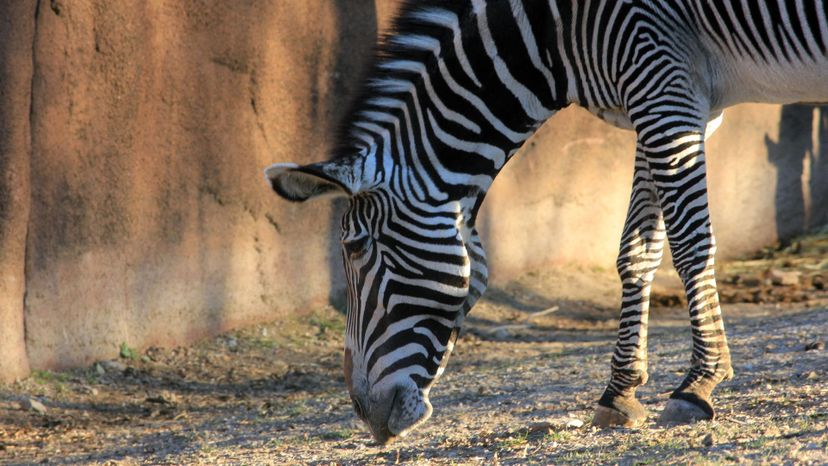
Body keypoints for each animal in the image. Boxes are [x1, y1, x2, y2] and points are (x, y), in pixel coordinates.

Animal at [265, 0, 828, 444]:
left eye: (356, 248)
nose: (365, 416)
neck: (556, 28)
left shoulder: (662, 81)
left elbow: (690, 244)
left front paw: (700, 382)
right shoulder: (664, 98)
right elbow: (636, 251)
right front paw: (619, 392)